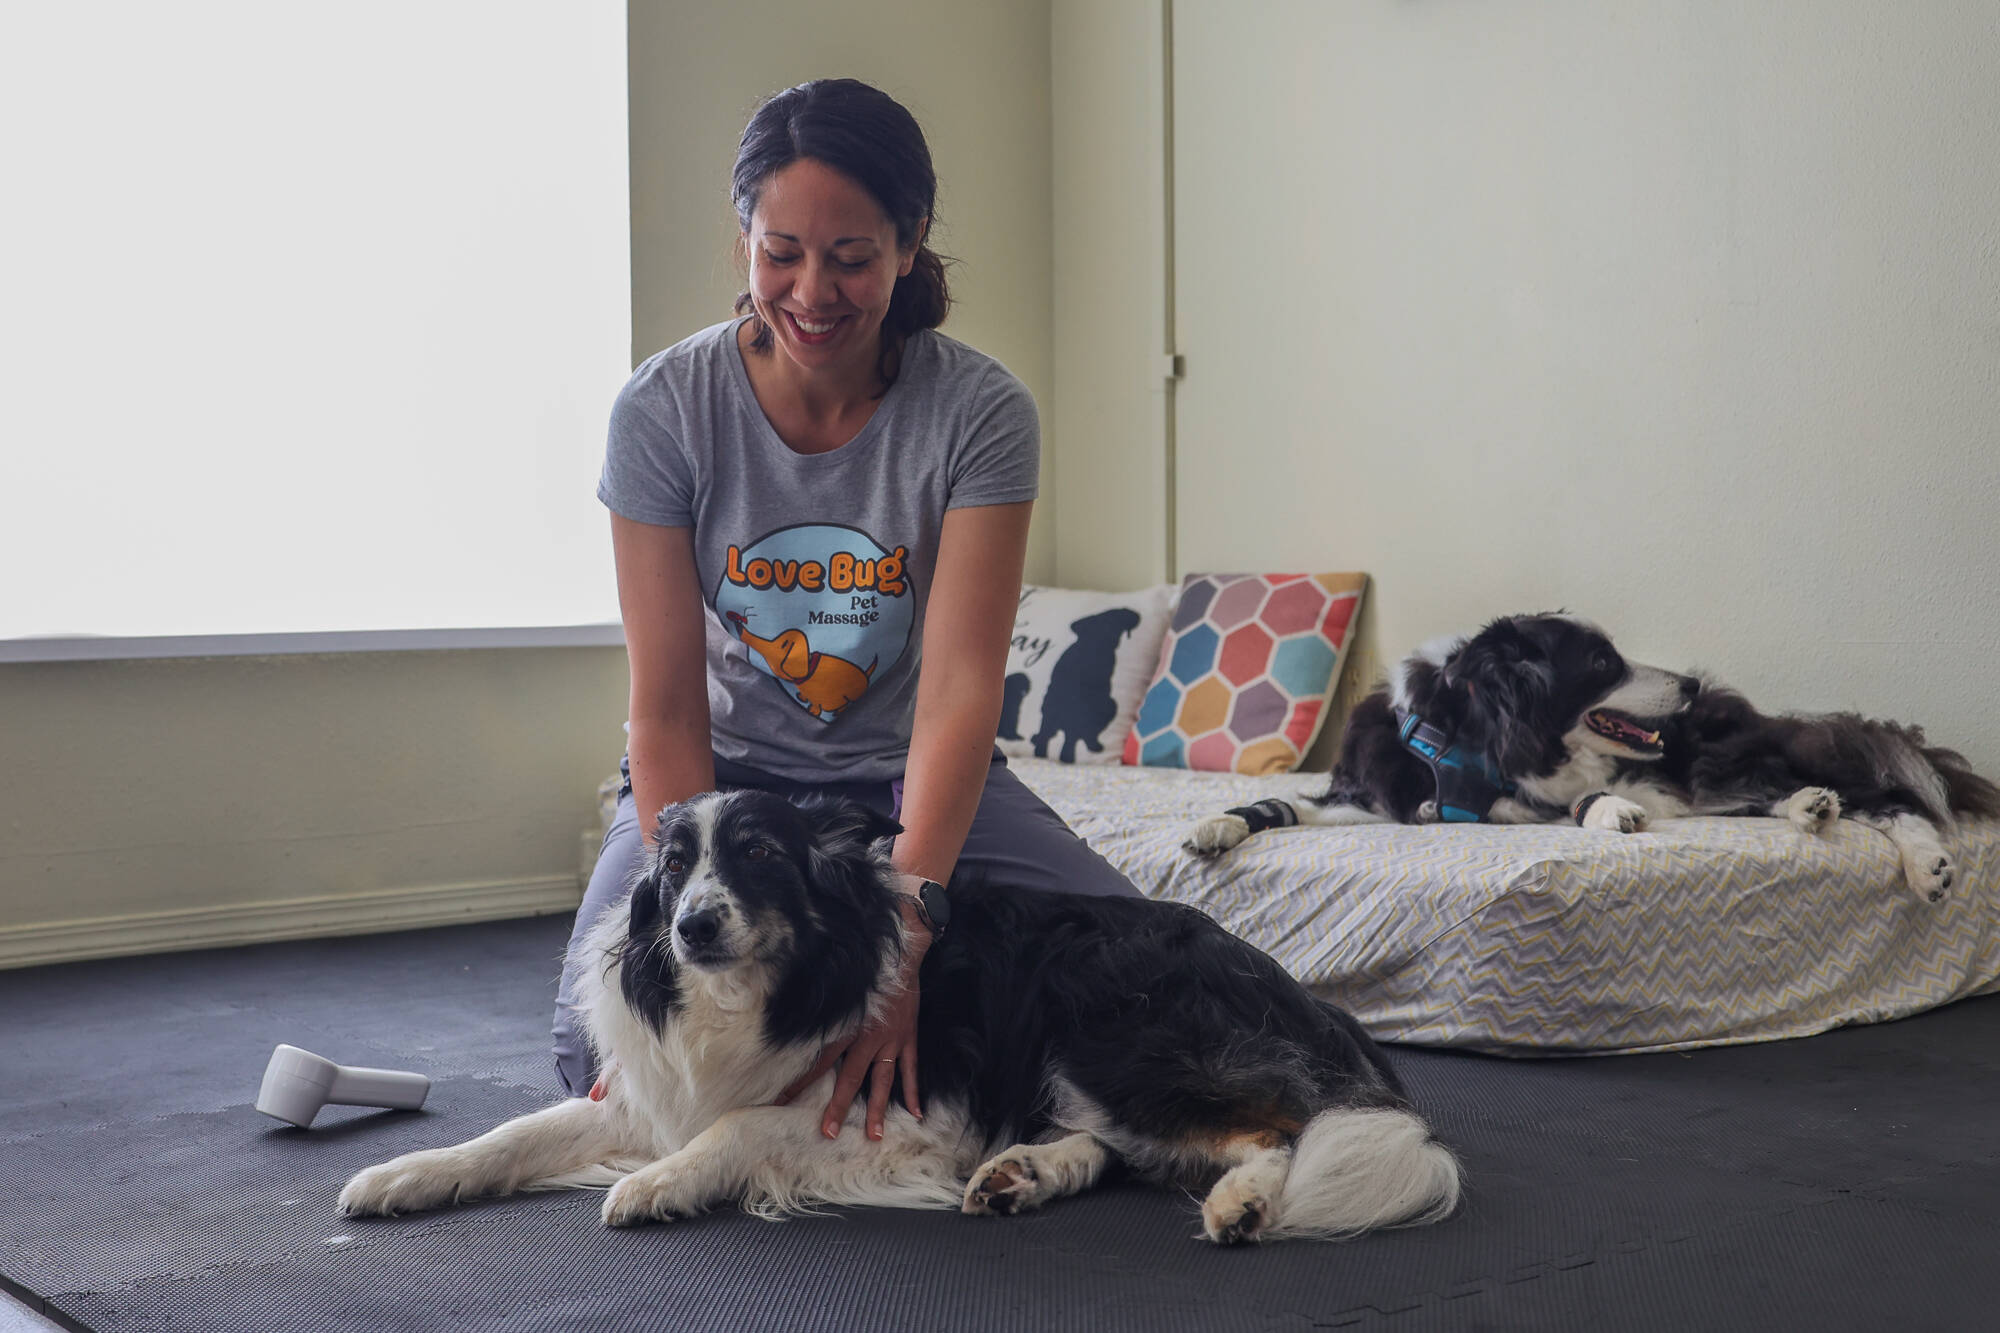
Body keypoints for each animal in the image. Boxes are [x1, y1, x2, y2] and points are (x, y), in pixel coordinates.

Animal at [340, 788, 1472, 1232]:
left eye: (757, 854)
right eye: (672, 867)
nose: (693, 926)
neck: (759, 991)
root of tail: (1305, 1000)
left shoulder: (906, 1106)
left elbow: (738, 1124)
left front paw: (662, 1181)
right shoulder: (642, 1092)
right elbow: (513, 1133)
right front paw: (407, 1173)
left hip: (1108, 1023)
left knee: (1284, 1125)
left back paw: (1240, 1201)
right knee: (1121, 1147)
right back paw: (1024, 1174)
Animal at [1184, 612, 2000, 904]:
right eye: (1604, 662)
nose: (1689, 685)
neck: (1467, 734)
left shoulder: (1528, 801)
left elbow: (1576, 801)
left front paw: (1610, 810)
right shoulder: (1372, 796)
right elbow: (1285, 806)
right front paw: (1216, 827)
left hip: (1713, 763)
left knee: (1889, 799)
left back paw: (1924, 864)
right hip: (1713, 783)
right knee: (1796, 795)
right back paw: (1809, 808)